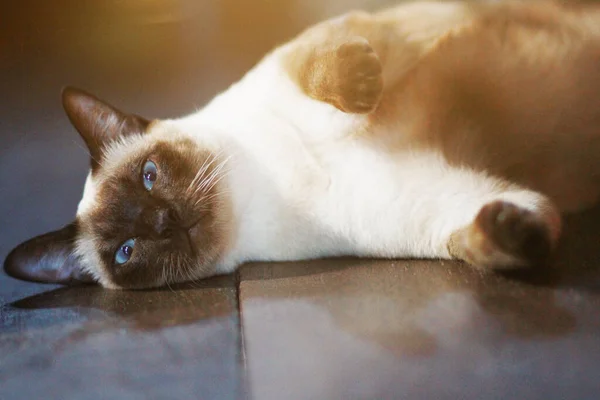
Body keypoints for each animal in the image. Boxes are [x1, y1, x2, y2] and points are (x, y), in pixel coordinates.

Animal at [3, 0, 600, 288]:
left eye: (149, 175)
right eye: (126, 251)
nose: (162, 221)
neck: (269, 189)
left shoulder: (327, 48)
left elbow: (321, 73)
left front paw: (357, 81)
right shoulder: (441, 203)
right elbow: (485, 236)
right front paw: (513, 236)